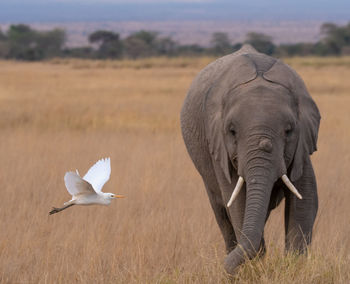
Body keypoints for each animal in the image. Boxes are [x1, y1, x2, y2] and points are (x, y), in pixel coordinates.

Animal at [180, 45, 320, 276]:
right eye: (232, 131)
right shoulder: (218, 145)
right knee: (222, 213)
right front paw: (253, 266)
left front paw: (294, 266)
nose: (227, 271)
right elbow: (237, 202)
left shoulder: (302, 146)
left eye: (289, 131)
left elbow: (305, 199)